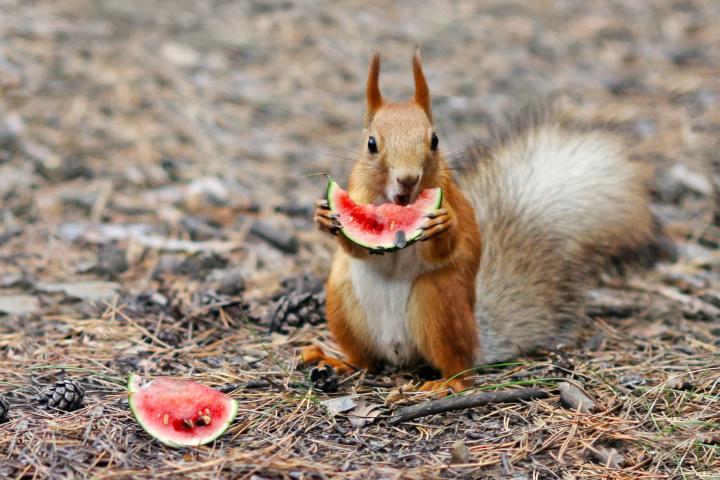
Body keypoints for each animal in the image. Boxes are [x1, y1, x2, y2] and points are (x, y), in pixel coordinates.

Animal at [303, 49, 664, 394]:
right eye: (371, 144)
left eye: (434, 140)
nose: (407, 179)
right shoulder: (360, 194)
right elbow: (355, 248)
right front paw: (324, 216)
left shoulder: (451, 197)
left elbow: (452, 241)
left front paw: (444, 224)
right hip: (342, 302)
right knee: (367, 361)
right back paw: (337, 361)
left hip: (438, 300)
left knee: (459, 368)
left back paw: (446, 384)